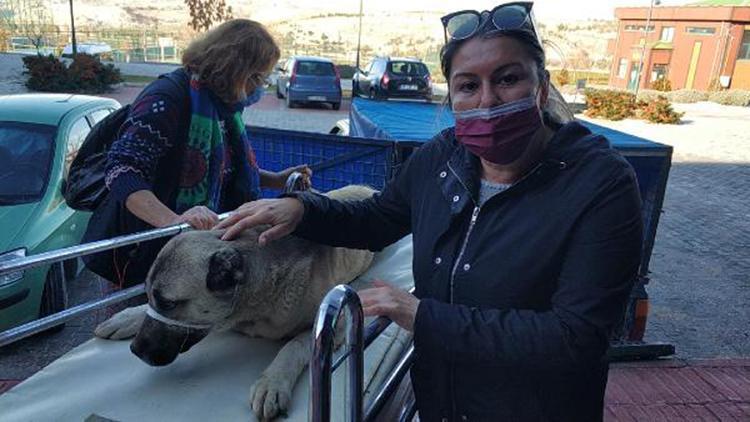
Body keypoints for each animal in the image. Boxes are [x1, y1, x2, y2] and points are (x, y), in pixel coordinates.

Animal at [94, 186, 376, 420]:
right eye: (152, 296)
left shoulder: (337, 326)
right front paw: (127, 316)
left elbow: (294, 345)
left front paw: (272, 382)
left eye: (168, 303)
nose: (135, 349)